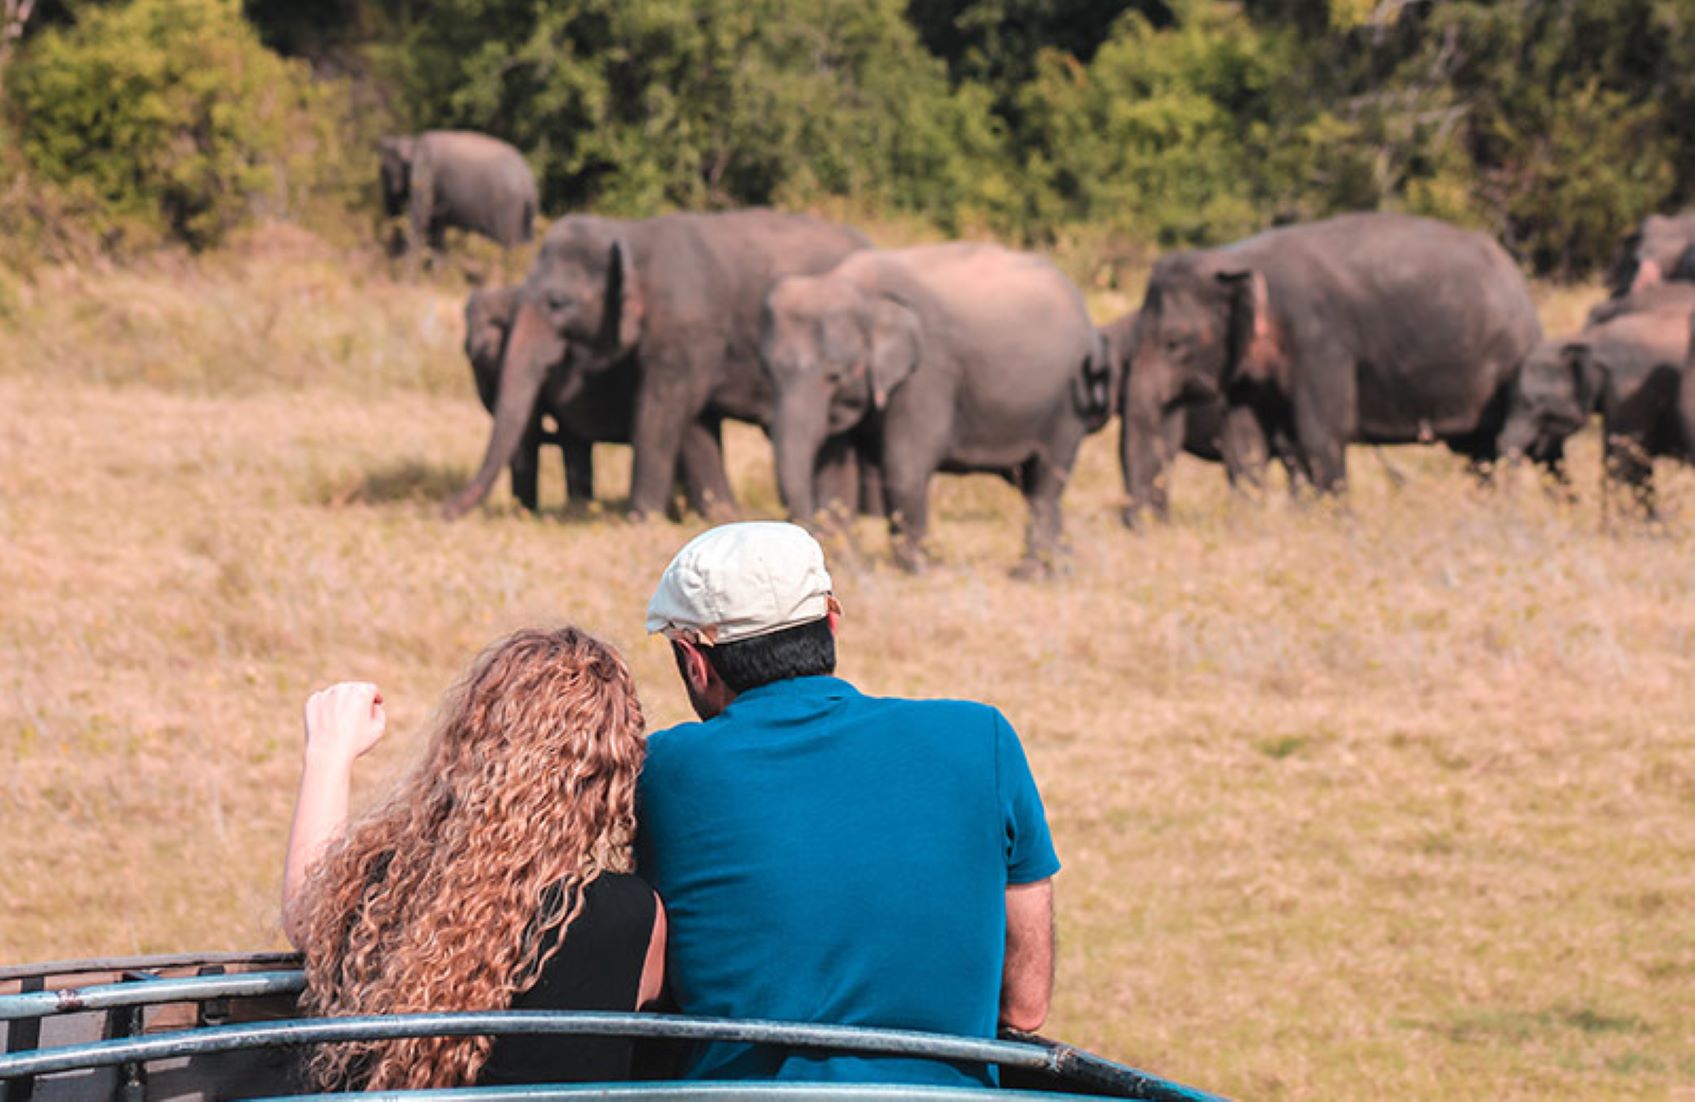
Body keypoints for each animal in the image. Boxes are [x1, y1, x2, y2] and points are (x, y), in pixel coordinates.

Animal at [381, 130, 539, 256]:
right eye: (383, 172)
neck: (414, 141)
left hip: (507, 207)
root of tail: (528, 180)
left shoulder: (426, 175)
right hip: (526, 212)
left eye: (389, 173)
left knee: (508, 243)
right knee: (527, 242)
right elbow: (436, 229)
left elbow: (420, 218)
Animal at [444, 209, 867, 518]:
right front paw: (720, 516)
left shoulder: (684, 328)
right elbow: (693, 419)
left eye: (558, 303)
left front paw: (642, 518)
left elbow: (664, 409)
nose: (442, 512)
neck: (629, 235)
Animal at [762, 240, 1105, 576]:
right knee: (1032, 483)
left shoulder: (929, 369)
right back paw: (1061, 568)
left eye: (834, 375)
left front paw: (916, 569)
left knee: (1046, 481)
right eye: (769, 371)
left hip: (1068, 400)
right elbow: (836, 471)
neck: (857, 287)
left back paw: (1031, 572)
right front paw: (853, 568)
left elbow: (905, 460)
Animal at [1118, 215, 1545, 528]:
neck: (1238, 260)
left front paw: (1335, 523)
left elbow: (1320, 432)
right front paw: (1253, 523)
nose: (1139, 523)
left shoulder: (1321, 341)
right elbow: (1245, 442)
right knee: (1478, 451)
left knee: (1500, 445)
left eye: (1174, 342)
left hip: (1510, 362)